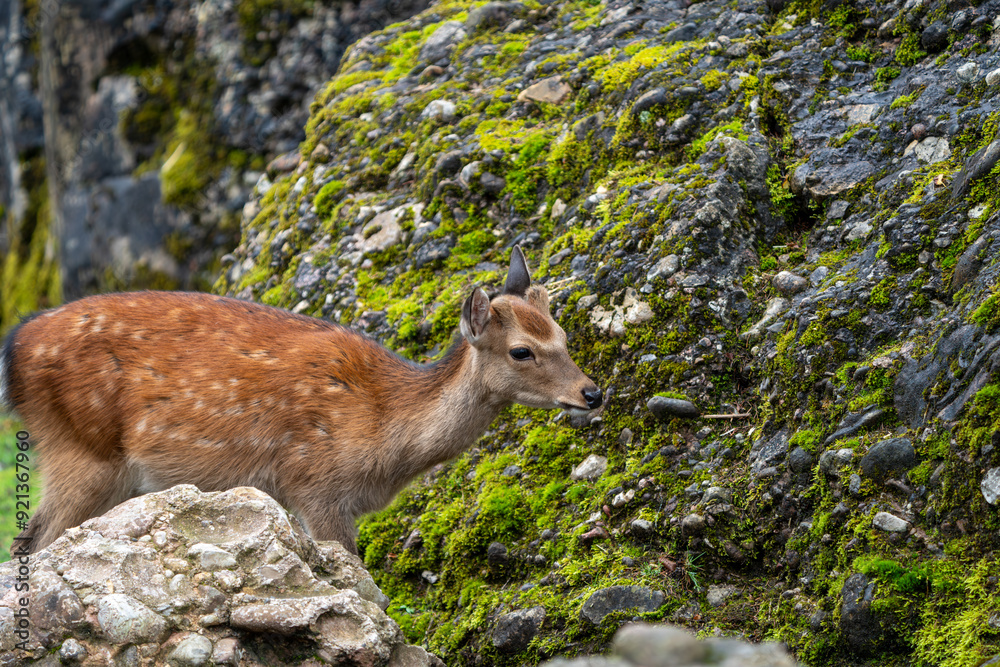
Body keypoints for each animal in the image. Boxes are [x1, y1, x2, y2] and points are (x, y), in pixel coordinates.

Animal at [1, 246, 602, 555]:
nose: (591, 393)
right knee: (36, 542)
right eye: (522, 351)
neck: (385, 435)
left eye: (563, 334)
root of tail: (15, 350)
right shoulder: (314, 483)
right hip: (83, 450)